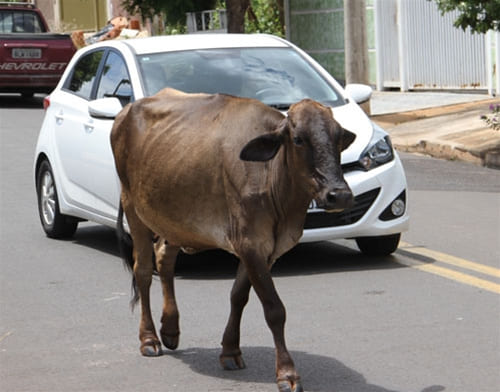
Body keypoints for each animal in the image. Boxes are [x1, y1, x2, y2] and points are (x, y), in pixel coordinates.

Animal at [111, 89, 356, 392]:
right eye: (298, 139)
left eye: (338, 137)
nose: (339, 195)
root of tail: (126, 111)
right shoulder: (250, 244)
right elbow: (274, 309)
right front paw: (287, 373)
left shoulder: (265, 251)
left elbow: (238, 296)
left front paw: (230, 351)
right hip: (133, 209)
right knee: (143, 271)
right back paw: (149, 338)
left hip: (173, 218)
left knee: (164, 261)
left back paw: (170, 329)